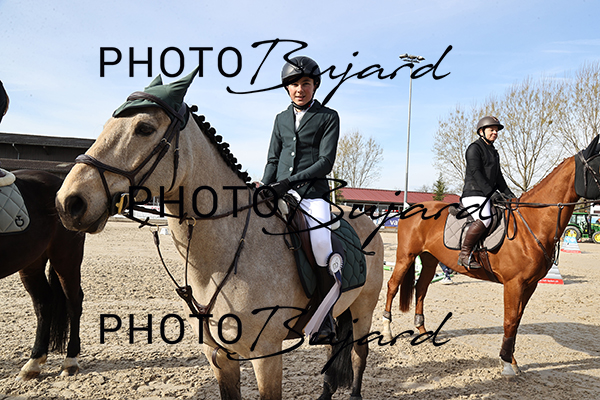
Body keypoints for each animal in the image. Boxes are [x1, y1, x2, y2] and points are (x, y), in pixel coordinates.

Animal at [0, 169, 85, 380]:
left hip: (66, 258)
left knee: (73, 302)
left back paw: (70, 362)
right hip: (32, 262)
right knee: (43, 303)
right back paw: (33, 362)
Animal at [54, 85, 384, 399]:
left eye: (144, 128)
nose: (68, 203)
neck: (224, 256)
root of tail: (367, 218)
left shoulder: (266, 354)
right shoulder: (218, 354)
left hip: (363, 310)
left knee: (359, 353)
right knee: (331, 350)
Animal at [382, 135, 600, 377]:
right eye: (599, 165)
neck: (532, 222)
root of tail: (412, 208)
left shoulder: (529, 285)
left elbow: (517, 322)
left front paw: (512, 360)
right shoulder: (514, 284)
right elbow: (509, 320)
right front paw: (506, 363)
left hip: (429, 260)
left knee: (421, 288)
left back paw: (422, 331)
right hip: (405, 257)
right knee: (392, 286)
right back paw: (387, 331)